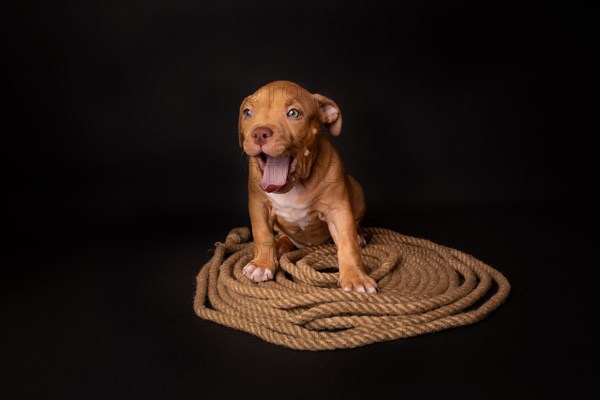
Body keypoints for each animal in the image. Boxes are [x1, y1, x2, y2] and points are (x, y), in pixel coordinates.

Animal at [238, 81, 376, 294]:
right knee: (281, 235)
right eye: (247, 113)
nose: (259, 133)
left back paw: (360, 235)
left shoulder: (339, 209)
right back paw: (281, 244)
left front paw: (355, 277)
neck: (295, 184)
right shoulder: (258, 206)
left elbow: (347, 242)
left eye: (294, 113)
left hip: (357, 189)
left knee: (355, 227)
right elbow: (262, 234)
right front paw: (262, 265)